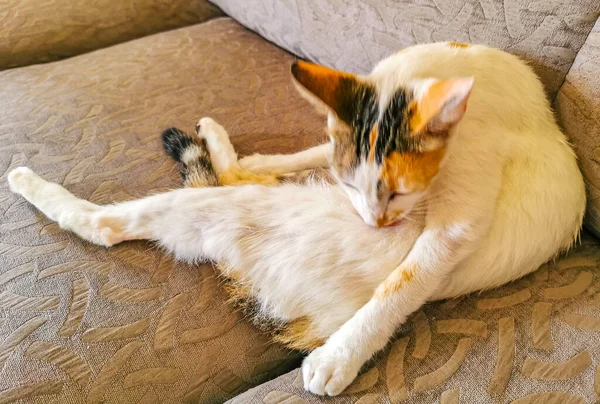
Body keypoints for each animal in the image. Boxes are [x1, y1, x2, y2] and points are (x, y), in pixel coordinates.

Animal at [7, 42, 584, 396]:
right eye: (352, 186)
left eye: (399, 192)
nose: (377, 224)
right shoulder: (338, 155)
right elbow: (314, 152)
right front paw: (271, 158)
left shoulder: (457, 221)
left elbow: (403, 283)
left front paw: (340, 358)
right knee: (238, 174)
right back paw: (223, 141)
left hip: (221, 212)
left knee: (106, 224)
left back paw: (27, 182)